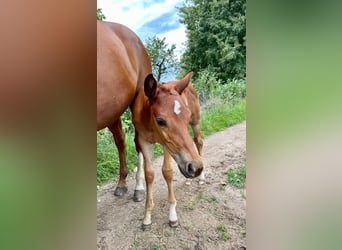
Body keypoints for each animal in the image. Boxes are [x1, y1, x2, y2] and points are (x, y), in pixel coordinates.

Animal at [95, 20, 151, 196]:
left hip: (139, 99)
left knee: (138, 141)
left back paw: (139, 186)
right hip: (111, 113)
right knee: (120, 141)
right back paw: (121, 183)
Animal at [132, 72, 203, 229]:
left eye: (187, 115)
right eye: (160, 121)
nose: (196, 168)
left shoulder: (166, 143)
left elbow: (167, 172)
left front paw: (172, 216)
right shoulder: (143, 141)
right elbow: (149, 174)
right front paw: (147, 217)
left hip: (195, 122)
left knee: (199, 141)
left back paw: (201, 178)